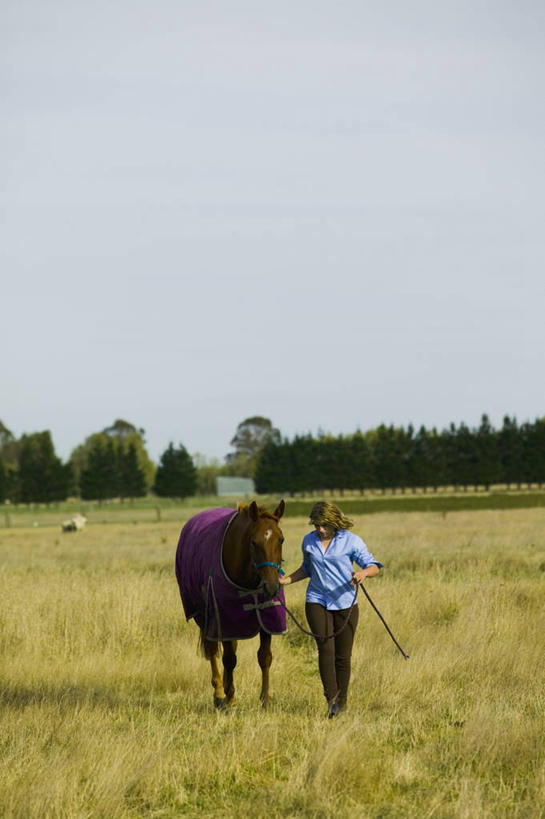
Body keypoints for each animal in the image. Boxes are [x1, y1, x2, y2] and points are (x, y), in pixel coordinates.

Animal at [175, 496, 286, 708]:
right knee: (213, 651)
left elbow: (264, 657)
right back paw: (220, 693)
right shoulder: (224, 617)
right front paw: (230, 699)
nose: (272, 587)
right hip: (204, 617)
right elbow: (229, 659)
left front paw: (265, 699)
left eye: (281, 539)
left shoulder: (264, 618)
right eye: (254, 542)